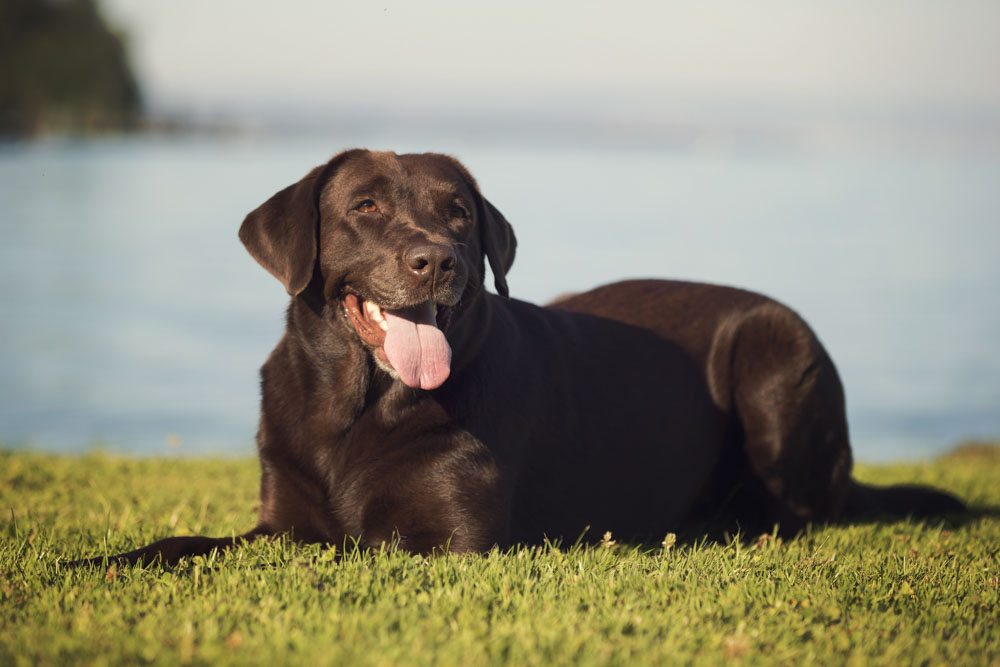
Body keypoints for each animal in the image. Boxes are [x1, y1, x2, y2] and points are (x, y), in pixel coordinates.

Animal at [70, 149, 960, 568]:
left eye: (459, 213)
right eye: (365, 206)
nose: (437, 259)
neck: (352, 408)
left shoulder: (454, 539)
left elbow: (355, 541)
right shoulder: (280, 516)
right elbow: (189, 543)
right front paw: (97, 559)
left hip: (776, 350)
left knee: (796, 512)